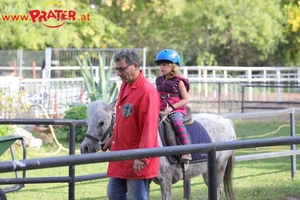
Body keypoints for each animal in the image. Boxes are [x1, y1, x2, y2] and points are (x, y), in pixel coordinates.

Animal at [80, 100, 237, 200]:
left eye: (101, 122)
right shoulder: (146, 181)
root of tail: (226, 121)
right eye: (88, 122)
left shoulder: (165, 181)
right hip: (207, 171)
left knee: (217, 191)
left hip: (219, 166)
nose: (84, 148)